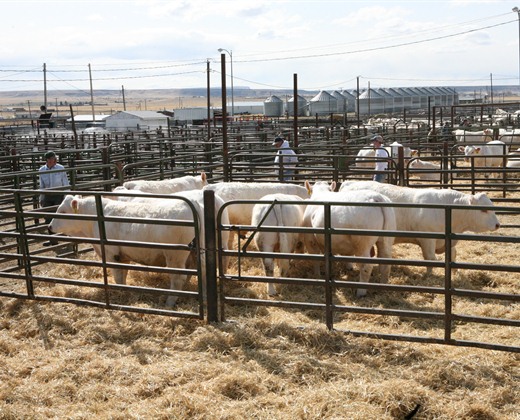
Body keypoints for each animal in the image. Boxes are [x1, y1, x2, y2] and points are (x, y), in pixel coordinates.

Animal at [49, 191, 228, 308]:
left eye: (63, 211)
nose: (50, 227)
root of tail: (195, 203)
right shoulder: (123, 255)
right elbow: (124, 274)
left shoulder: (111, 253)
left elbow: (118, 276)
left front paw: (122, 293)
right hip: (197, 251)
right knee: (204, 270)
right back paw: (203, 297)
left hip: (175, 254)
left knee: (178, 278)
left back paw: (169, 303)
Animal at [340, 180, 502, 272]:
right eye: (484, 210)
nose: (498, 224)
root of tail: (349, 183)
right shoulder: (428, 240)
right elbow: (430, 259)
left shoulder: (448, 240)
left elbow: (453, 256)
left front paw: (455, 273)